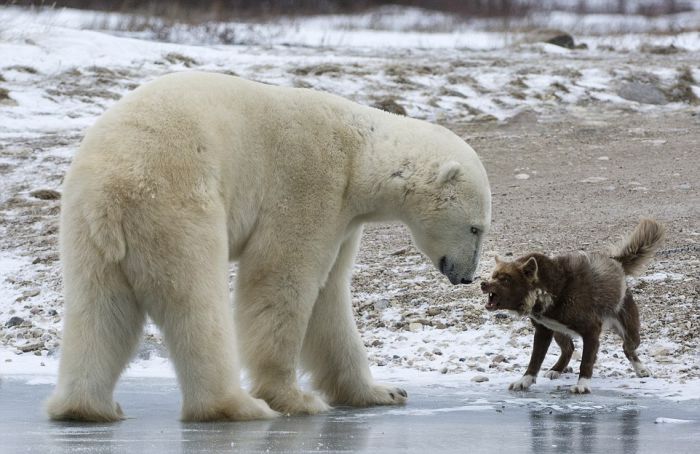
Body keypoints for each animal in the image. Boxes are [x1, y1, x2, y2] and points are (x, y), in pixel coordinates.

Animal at [45, 71, 492, 422]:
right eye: (476, 228)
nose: (467, 277)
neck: (358, 155)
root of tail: (114, 190)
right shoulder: (310, 182)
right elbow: (281, 279)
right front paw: (294, 398)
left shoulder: (344, 218)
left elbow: (330, 298)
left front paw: (384, 392)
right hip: (176, 204)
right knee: (196, 302)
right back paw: (237, 406)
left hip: (86, 227)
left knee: (100, 309)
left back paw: (87, 407)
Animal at [482, 220, 668, 394]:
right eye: (493, 276)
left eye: (505, 279)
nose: (483, 284)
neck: (552, 289)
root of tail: (616, 263)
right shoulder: (543, 330)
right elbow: (535, 360)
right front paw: (524, 381)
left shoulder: (592, 329)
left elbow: (586, 361)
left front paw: (582, 385)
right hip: (558, 331)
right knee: (569, 349)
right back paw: (556, 369)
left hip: (629, 330)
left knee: (628, 347)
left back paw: (641, 369)